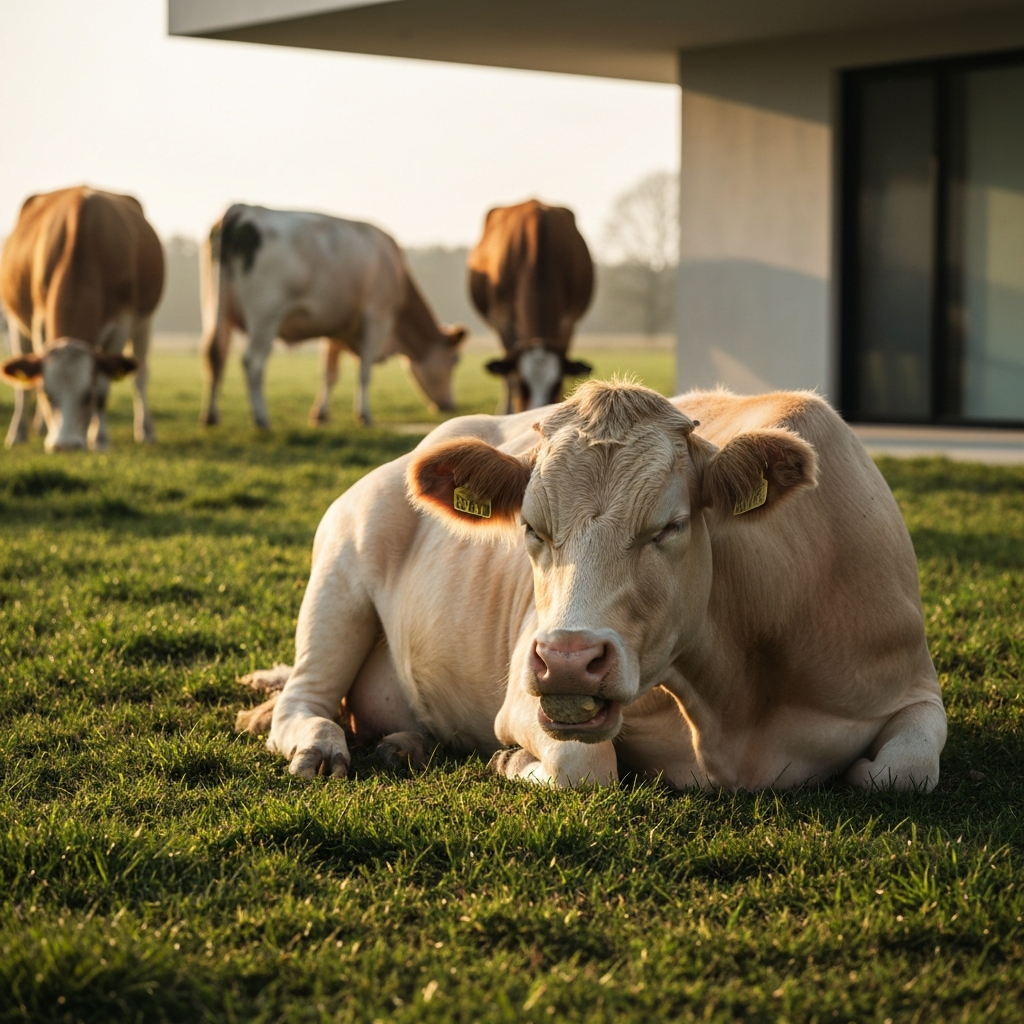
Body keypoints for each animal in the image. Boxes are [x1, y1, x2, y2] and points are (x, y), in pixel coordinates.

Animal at [0, 186, 163, 451]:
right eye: (48, 394)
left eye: (89, 395)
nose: (65, 446)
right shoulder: (38, 321)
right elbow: (32, 381)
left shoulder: (122, 323)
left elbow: (106, 385)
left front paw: (100, 439)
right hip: (15, 324)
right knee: (22, 387)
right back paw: (22, 432)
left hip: (144, 324)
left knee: (140, 376)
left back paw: (145, 430)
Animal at [200, 205, 467, 429]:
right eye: (455, 360)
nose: (449, 405)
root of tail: (243, 208)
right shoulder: (377, 318)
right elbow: (364, 371)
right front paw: (364, 414)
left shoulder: (336, 328)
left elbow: (330, 373)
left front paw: (320, 414)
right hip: (265, 316)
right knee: (252, 362)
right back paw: (262, 419)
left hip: (215, 310)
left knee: (215, 354)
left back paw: (211, 416)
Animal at [237, 381, 947, 793]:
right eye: (531, 526)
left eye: (670, 525)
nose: (568, 660)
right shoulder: (522, 699)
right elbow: (585, 769)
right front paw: (512, 763)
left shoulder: (913, 685)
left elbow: (901, 772)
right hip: (339, 574)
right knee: (306, 701)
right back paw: (321, 744)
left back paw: (406, 744)